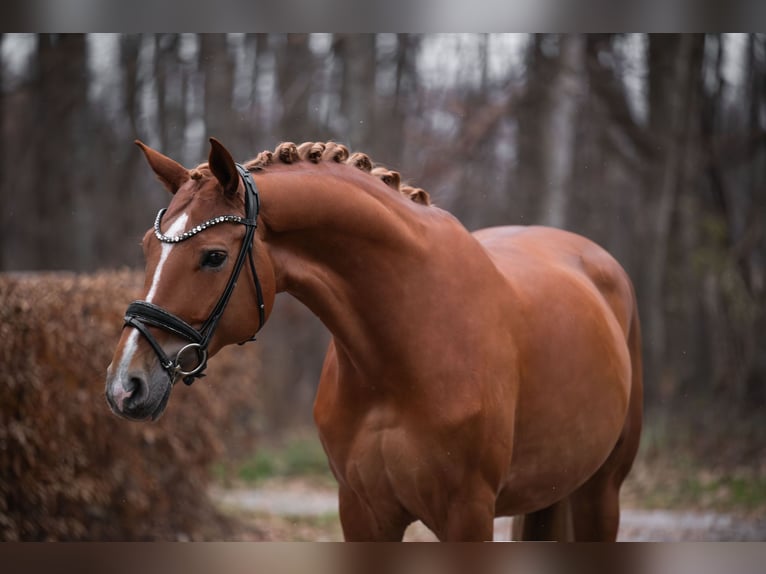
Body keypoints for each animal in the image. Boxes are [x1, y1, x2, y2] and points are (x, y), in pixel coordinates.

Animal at [105, 138, 643, 541]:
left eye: (214, 256)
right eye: (147, 247)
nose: (124, 385)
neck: (406, 349)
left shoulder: (468, 514)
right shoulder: (362, 512)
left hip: (601, 493)